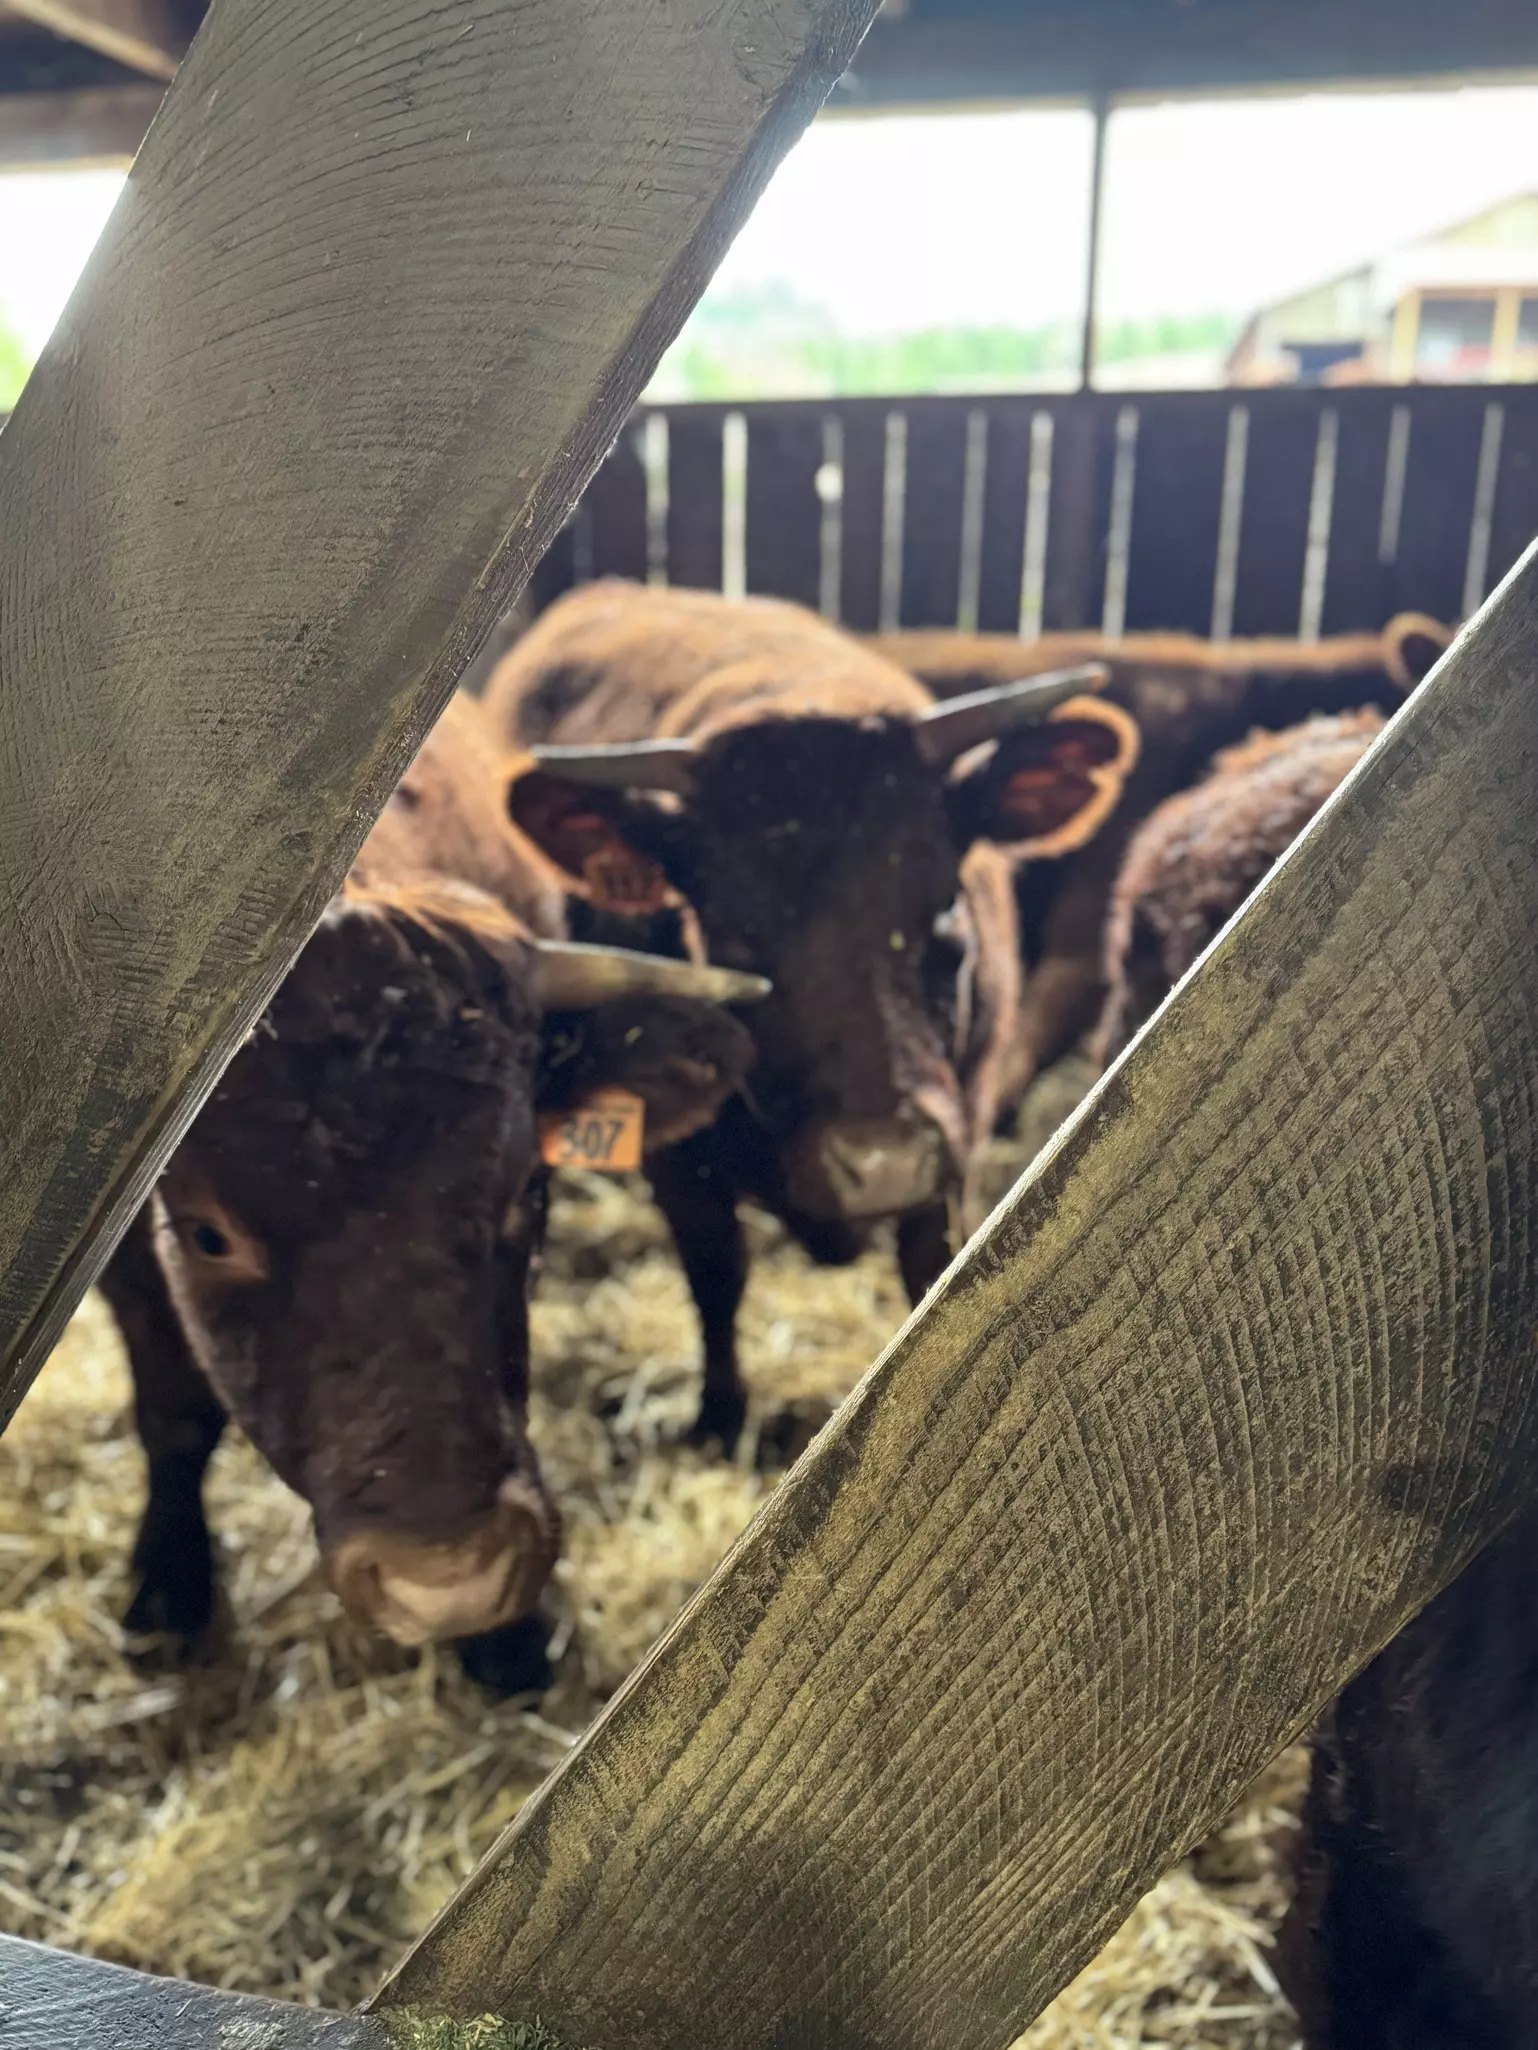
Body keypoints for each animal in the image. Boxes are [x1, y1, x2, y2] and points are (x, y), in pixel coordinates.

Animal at [98, 693, 765, 1695]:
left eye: (527, 1190)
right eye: (210, 1235)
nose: (448, 1577)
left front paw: (505, 1640)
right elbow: (174, 1416)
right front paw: (168, 1585)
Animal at [484, 580, 1140, 1448]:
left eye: (945, 903)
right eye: (731, 933)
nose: (882, 1161)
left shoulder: (955, 1135)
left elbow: (929, 1270)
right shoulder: (675, 1158)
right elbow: (716, 1272)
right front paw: (720, 1413)